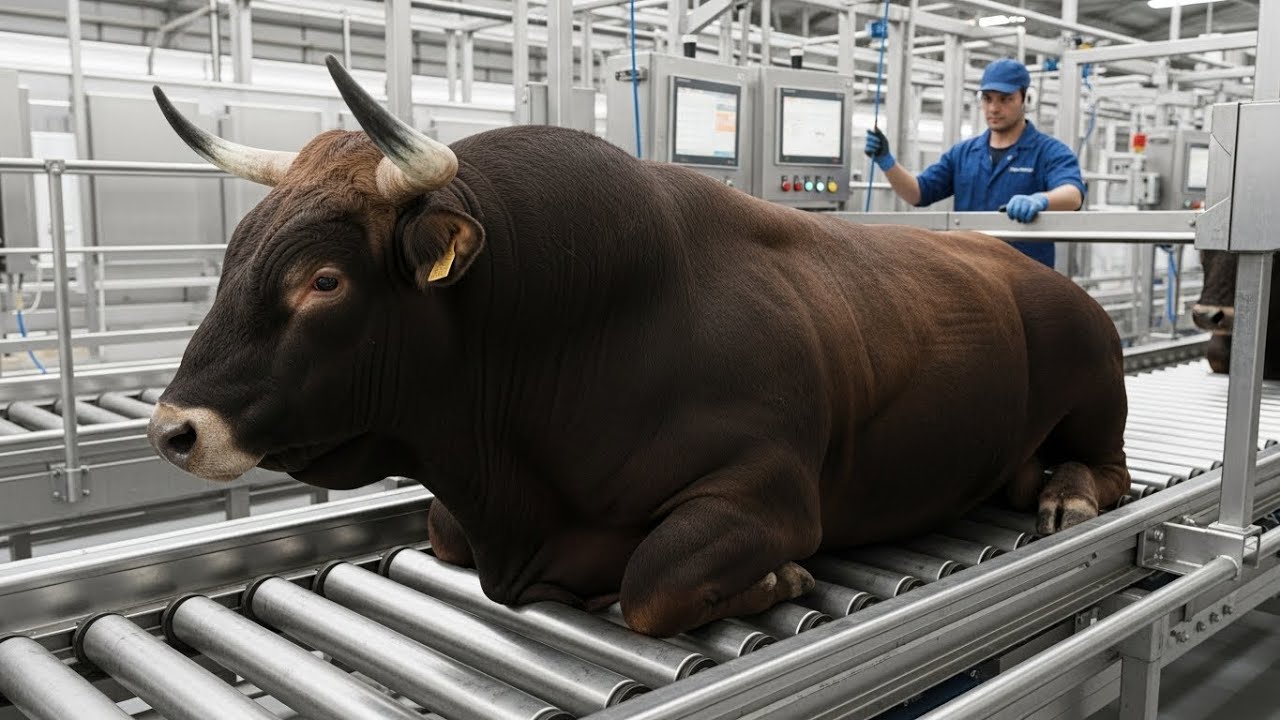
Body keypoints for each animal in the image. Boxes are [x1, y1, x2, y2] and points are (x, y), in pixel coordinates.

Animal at [147, 56, 1131, 638]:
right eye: (234, 254)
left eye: (324, 281)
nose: (174, 430)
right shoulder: (461, 516)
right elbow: (440, 531)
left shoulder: (766, 491)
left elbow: (653, 585)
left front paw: (778, 582)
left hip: (1096, 390)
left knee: (1111, 471)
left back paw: (1067, 494)